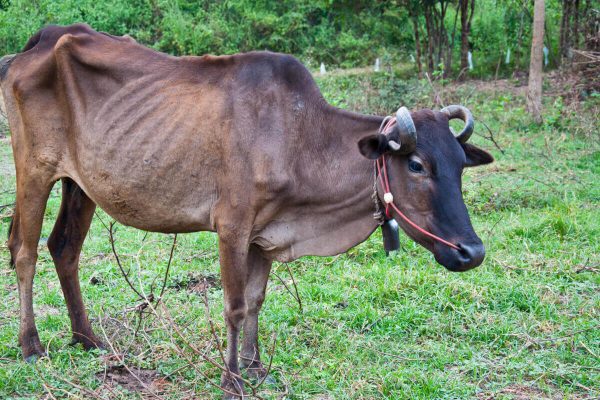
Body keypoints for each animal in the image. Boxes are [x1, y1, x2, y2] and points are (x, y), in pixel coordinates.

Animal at [1, 24, 492, 396]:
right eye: (416, 164)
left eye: (460, 165)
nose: (472, 252)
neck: (298, 137)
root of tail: (44, 38)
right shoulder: (232, 226)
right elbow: (235, 306)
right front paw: (232, 378)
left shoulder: (264, 232)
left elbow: (256, 300)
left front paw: (256, 367)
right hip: (34, 170)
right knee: (24, 252)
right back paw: (31, 346)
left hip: (81, 185)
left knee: (64, 248)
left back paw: (86, 339)